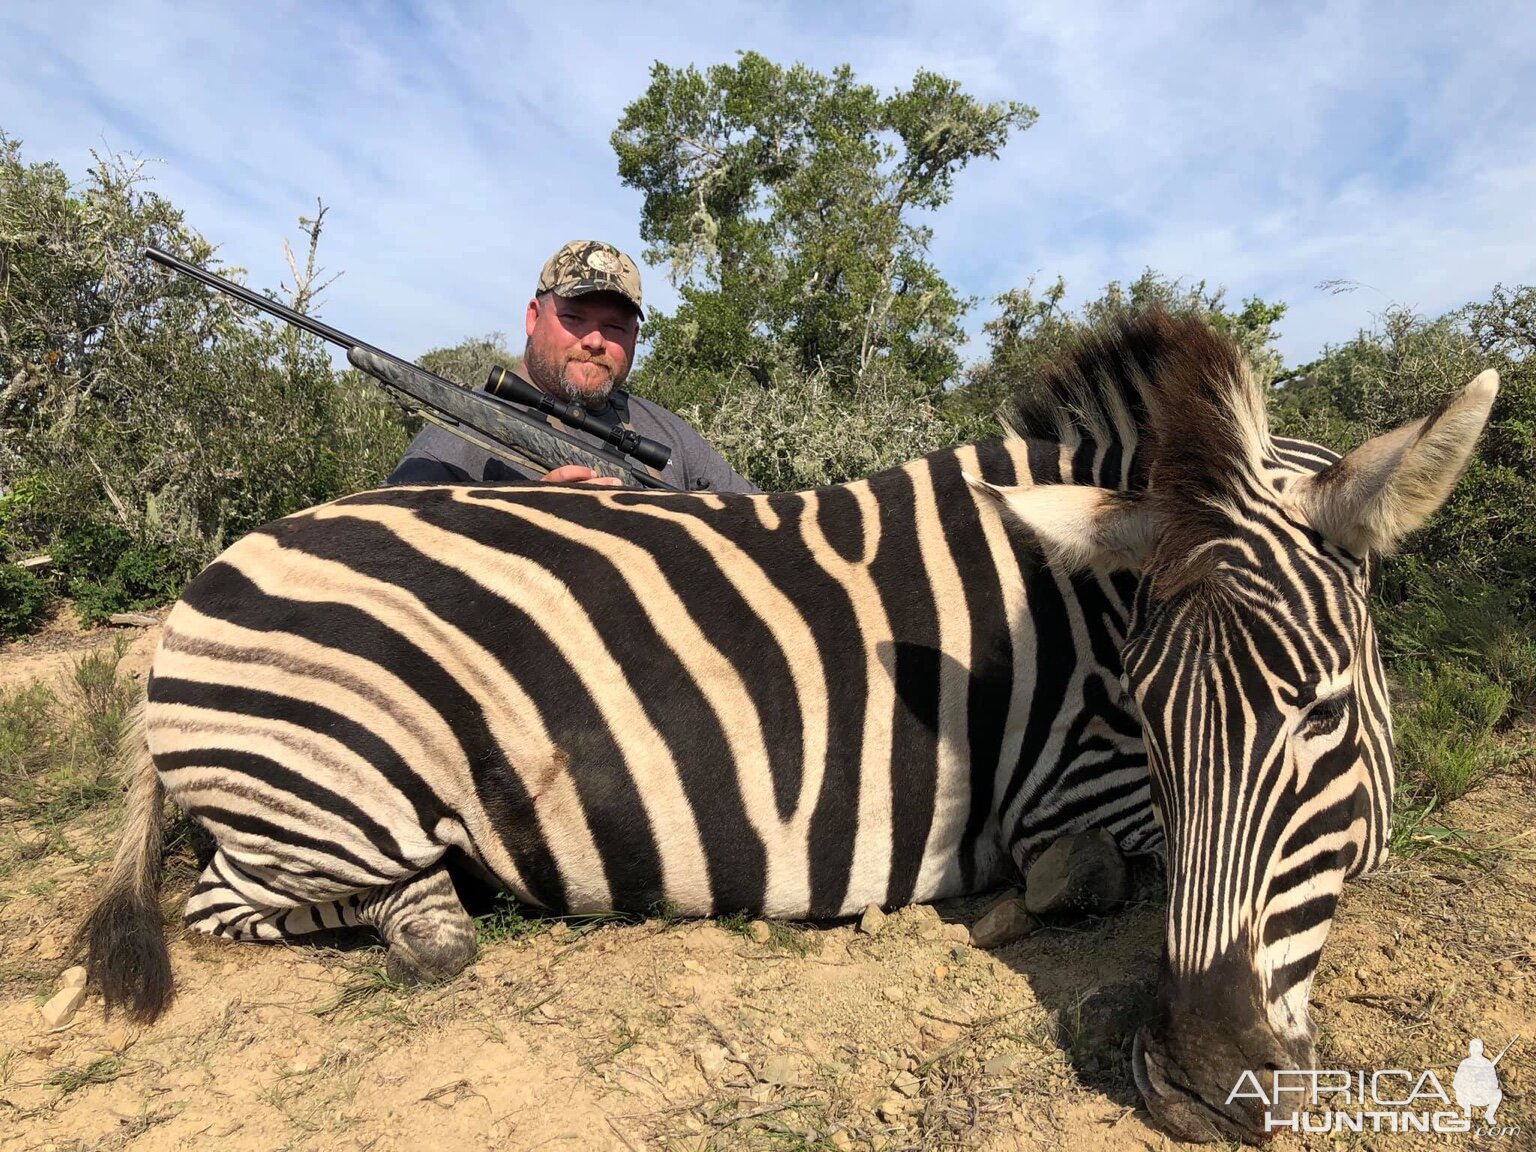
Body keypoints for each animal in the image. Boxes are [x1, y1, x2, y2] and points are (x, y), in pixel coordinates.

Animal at [77, 313, 1492, 1148]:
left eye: (1322, 710)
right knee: (247, 903)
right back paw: (438, 916)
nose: (1206, 1084)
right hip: (326, 803)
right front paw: (999, 908)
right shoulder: (1064, 789)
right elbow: (1090, 870)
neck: (1075, 607)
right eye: (1147, 721)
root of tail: (199, 586)